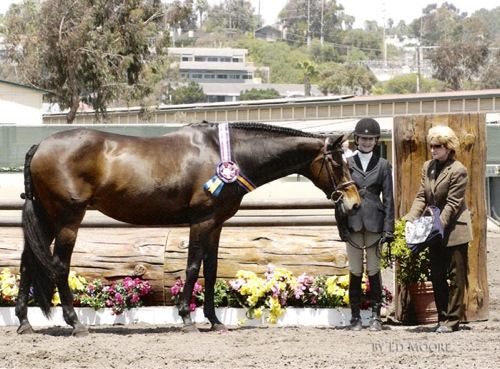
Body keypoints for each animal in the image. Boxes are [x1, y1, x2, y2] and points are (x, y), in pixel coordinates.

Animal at [15, 121, 360, 334]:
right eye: (338, 162)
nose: (354, 203)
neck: (225, 153)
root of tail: (39, 145)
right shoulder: (201, 221)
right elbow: (193, 267)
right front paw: (186, 316)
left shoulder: (216, 224)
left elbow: (211, 270)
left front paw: (214, 320)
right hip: (67, 219)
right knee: (59, 266)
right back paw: (75, 323)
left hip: (47, 219)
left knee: (28, 263)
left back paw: (23, 322)